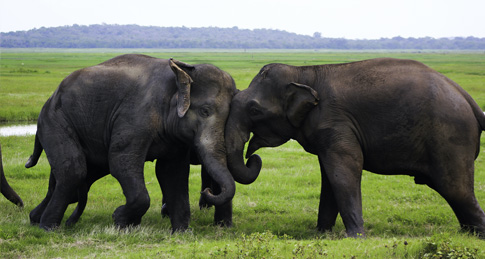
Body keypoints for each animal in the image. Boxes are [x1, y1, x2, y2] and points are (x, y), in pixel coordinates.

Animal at [25, 53, 237, 233]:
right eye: (205, 111)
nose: (207, 190)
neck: (179, 76)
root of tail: (51, 97)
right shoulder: (134, 117)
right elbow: (121, 161)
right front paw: (119, 219)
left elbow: (173, 172)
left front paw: (181, 232)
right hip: (54, 121)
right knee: (74, 171)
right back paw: (48, 228)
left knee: (75, 181)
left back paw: (36, 219)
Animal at [225, 58, 484, 239]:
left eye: (254, 110)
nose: (252, 157)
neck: (304, 72)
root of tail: (467, 98)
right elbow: (328, 178)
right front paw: (321, 235)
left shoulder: (335, 122)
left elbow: (344, 172)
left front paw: (355, 237)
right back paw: (468, 234)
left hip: (450, 137)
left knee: (455, 189)